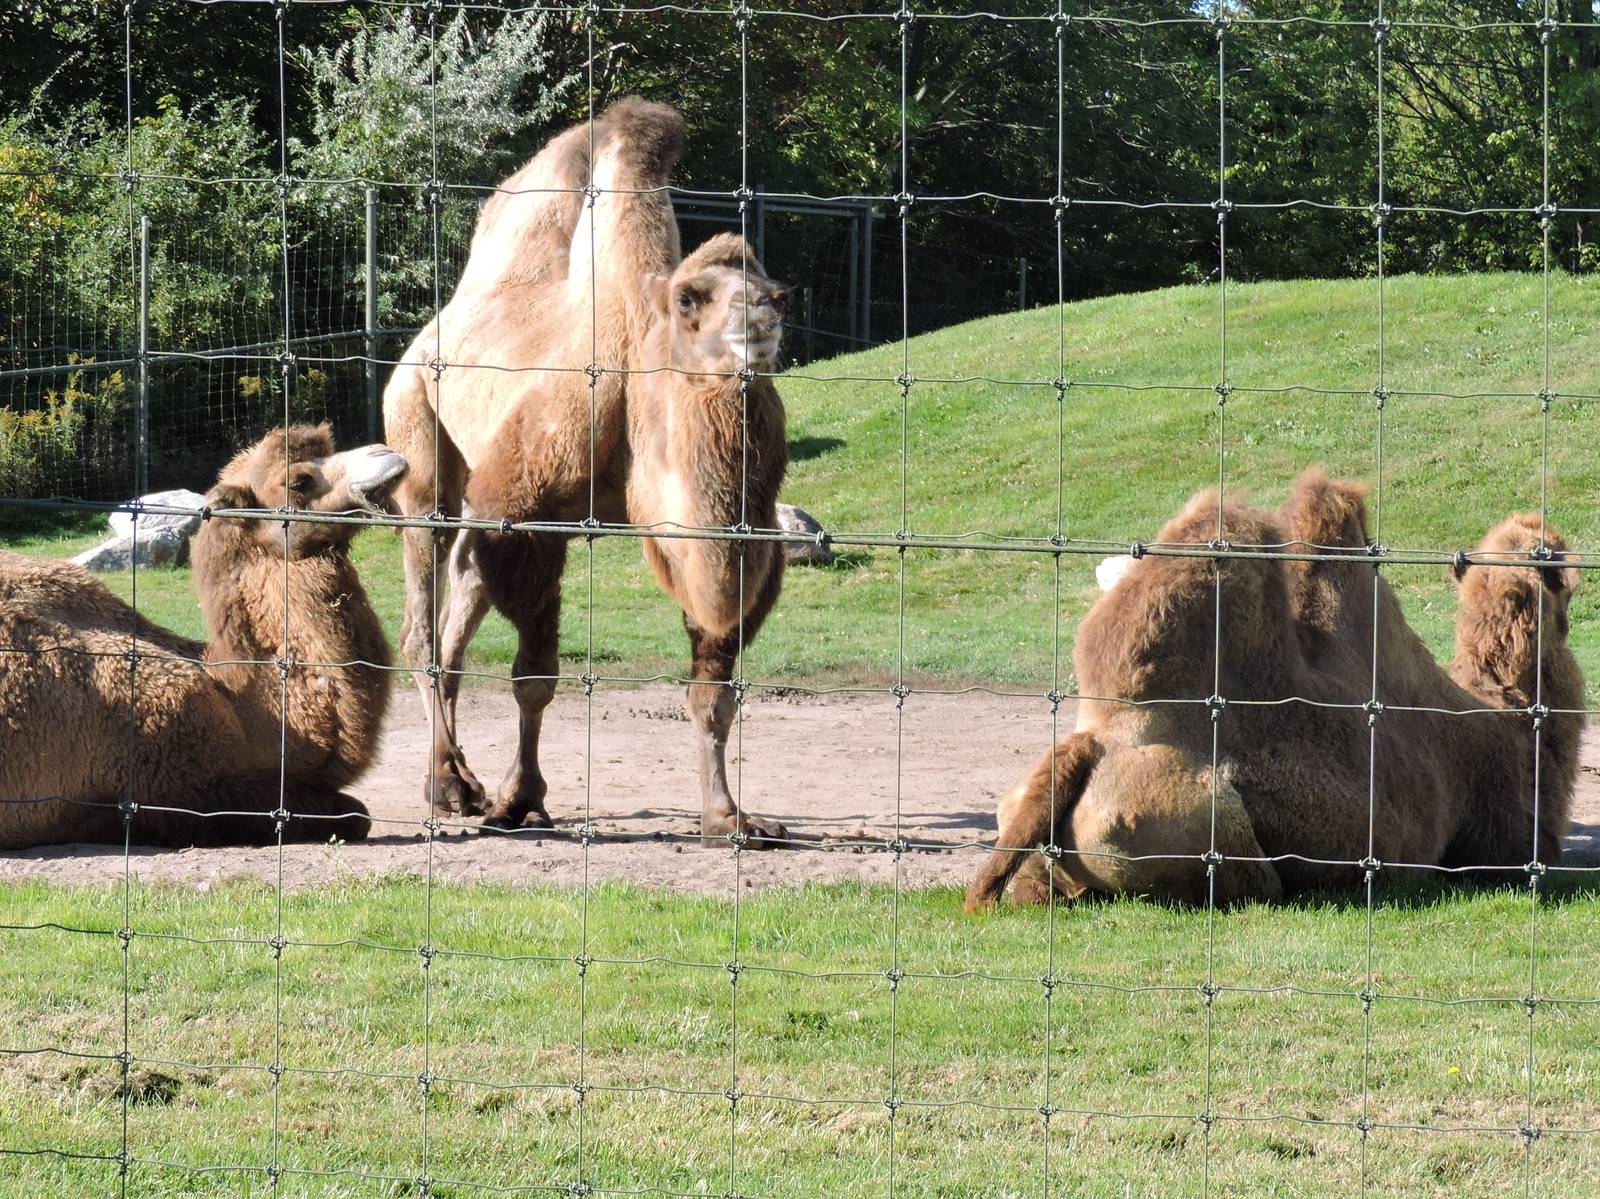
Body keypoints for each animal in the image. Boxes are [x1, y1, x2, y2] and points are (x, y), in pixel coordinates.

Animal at [384, 98, 794, 845]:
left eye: (780, 292)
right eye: (691, 298)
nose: (762, 315)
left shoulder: (739, 539)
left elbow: (715, 688)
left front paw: (729, 815)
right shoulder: (528, 512)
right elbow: (535, 676)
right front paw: (521, 801)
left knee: (459, 606)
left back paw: (456, 778)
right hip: (418, 430)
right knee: (423, 611)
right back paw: (448, 785)